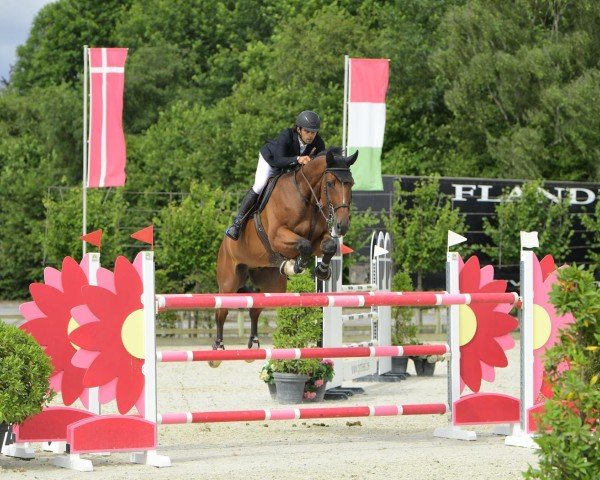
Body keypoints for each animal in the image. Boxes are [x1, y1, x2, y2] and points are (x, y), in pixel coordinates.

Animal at [214, 148, 358, 350]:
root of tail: (224, 244)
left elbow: (328, 246)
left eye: (351, 183)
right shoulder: (277, 236)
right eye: (330, 183)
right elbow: (303, 245)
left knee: (256, 307)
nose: (342, 226)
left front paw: (321, 271)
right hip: (229, 281)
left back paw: (255, 342)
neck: (306, 197)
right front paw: (296, 265)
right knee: (222, 311)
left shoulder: (318, 240)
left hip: (272, 284)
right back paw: (218, 346)